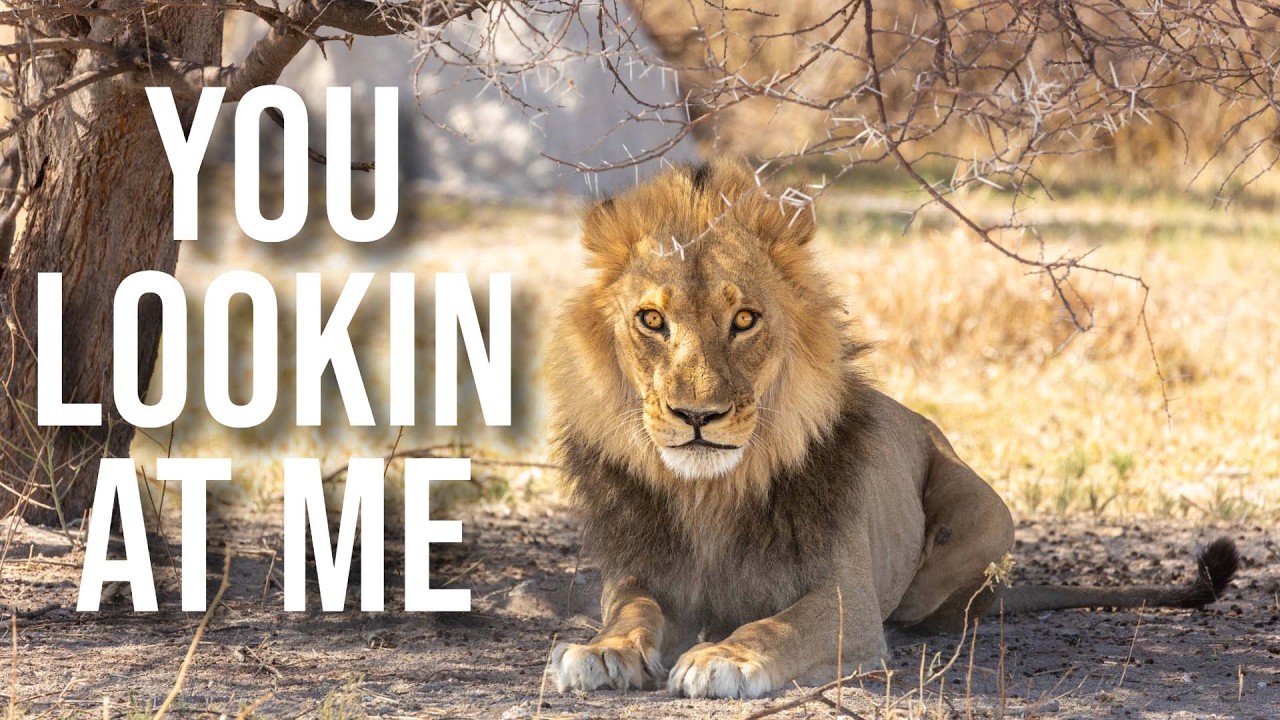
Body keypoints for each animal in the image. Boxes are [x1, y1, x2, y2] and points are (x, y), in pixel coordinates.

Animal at [545, 158, 1240, 699]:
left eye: (744, 319)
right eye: (651, 319)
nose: (696, 417)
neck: (712, 493)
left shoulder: (846, 596)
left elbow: (779, 625)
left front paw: (725, 655)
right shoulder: (637, 571)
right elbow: (634, 610)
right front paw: (604, 649)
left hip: (986, 512)